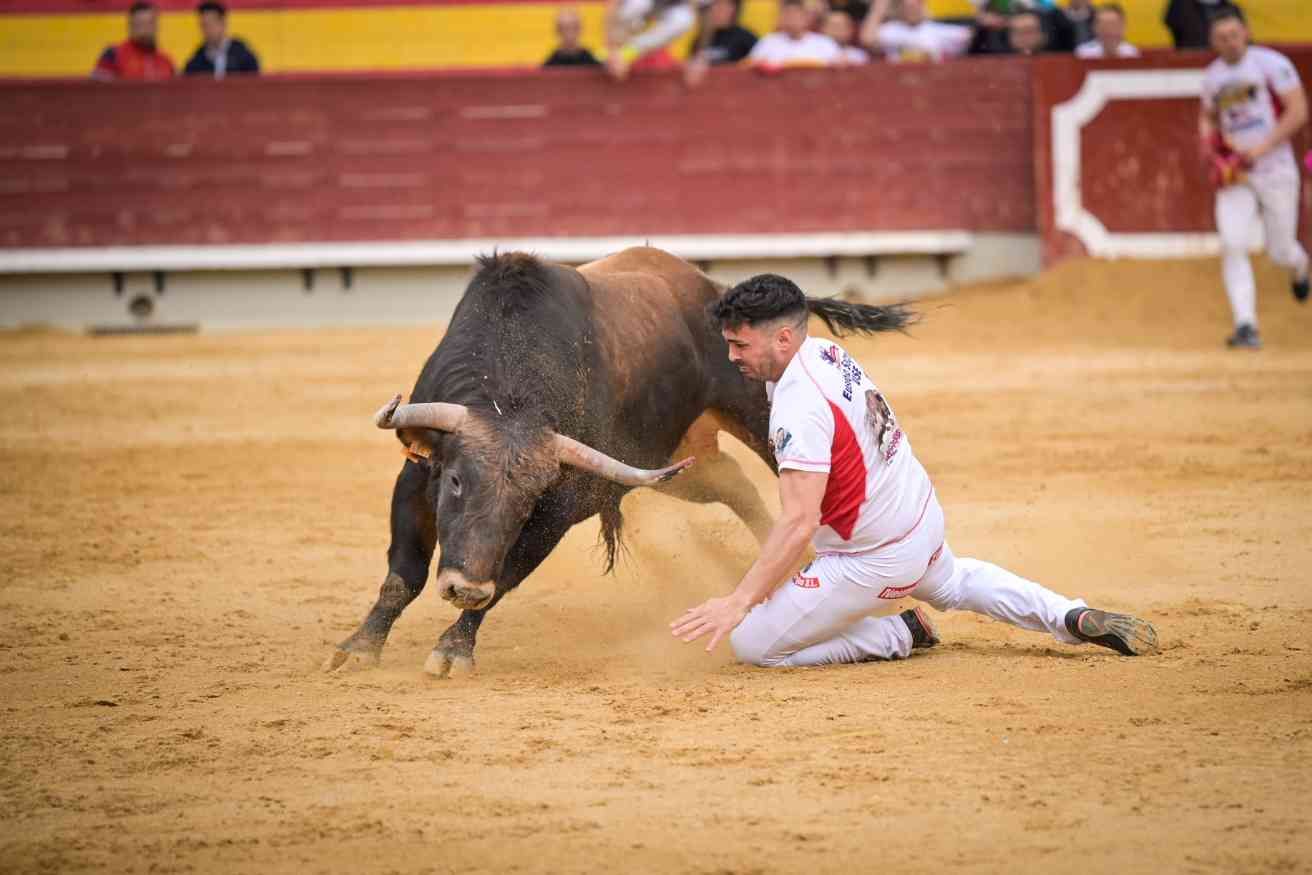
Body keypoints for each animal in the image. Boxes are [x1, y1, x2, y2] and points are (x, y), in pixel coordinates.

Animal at [322, 246, 907, 676]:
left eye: (529, 498)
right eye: (457, 481)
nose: (464, 586)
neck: (511, 391)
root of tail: (712, 289)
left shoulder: (559, 509)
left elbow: (506, 576)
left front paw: (452, 648)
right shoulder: (416, 475)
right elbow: (403, 573)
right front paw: (358, 647)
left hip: (755, 410)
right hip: (679, 462)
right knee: (734, 483)